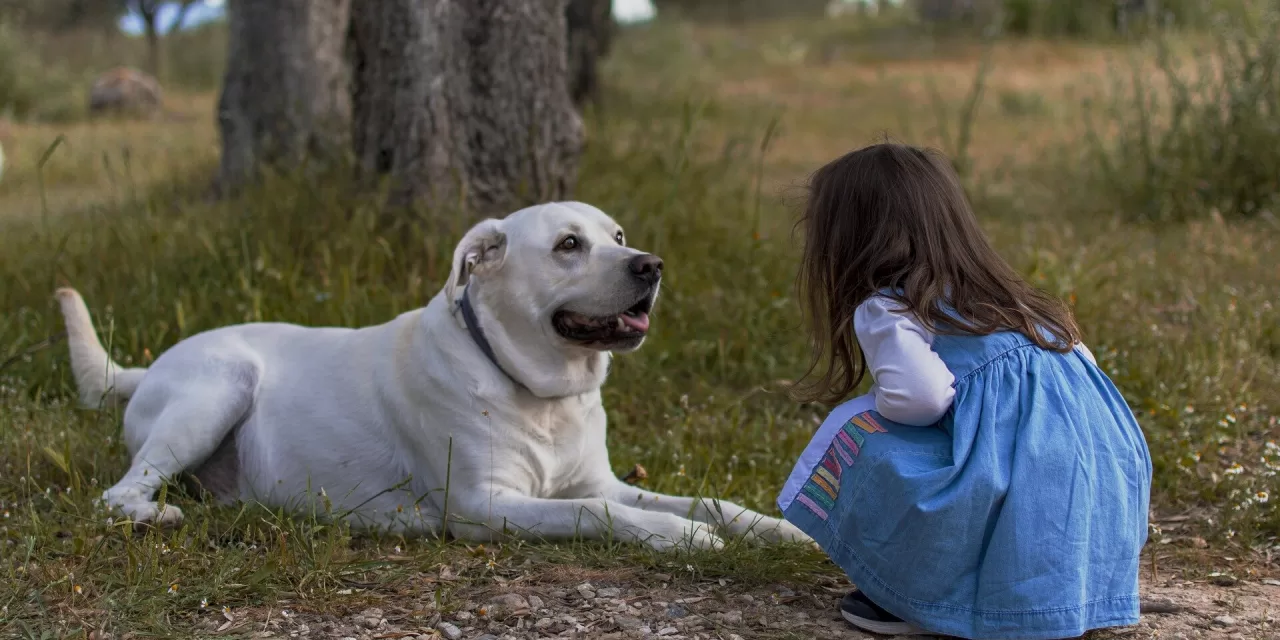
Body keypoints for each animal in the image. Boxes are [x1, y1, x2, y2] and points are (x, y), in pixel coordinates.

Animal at [60, 200, 808, 550]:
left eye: (618, 237)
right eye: (568, 245)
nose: (650, 265)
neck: (540, 393)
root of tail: (147, 367)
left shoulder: (600, 480)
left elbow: (707, 501)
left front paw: (777, 530)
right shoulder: (485, 505)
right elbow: (597, 514)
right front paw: (680, 538)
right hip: (219, 387)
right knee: (116, 494)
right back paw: (153, 516)